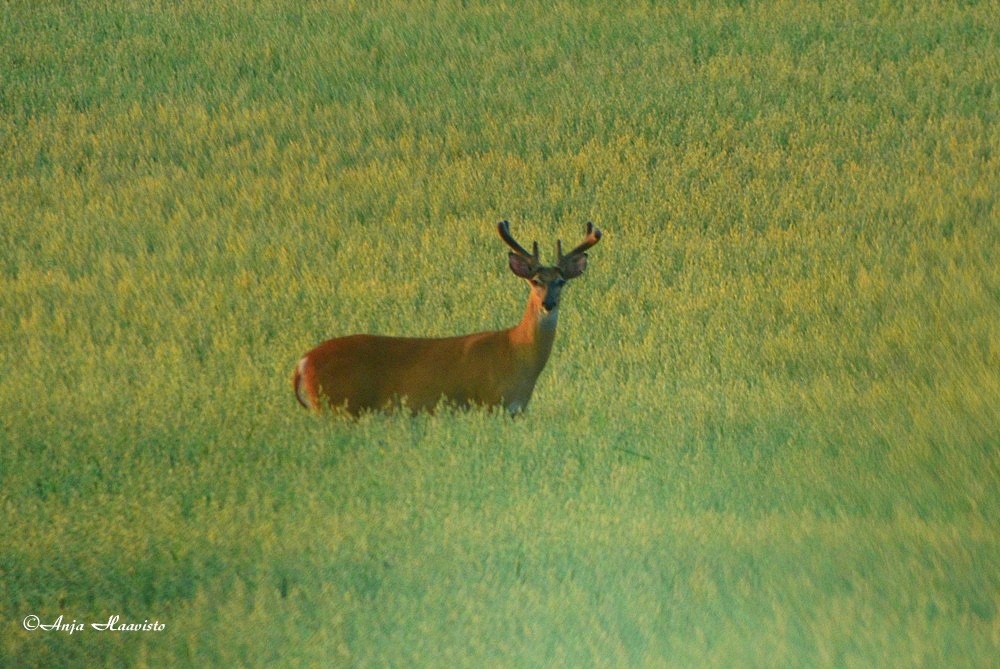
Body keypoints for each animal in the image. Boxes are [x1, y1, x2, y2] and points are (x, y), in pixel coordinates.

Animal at [293, 220, 602, 416]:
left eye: (561, 281)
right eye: (535, 280)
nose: (548, 303)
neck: (516, 353)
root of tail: (303, 362)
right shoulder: (489, 402)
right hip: (339, 404)